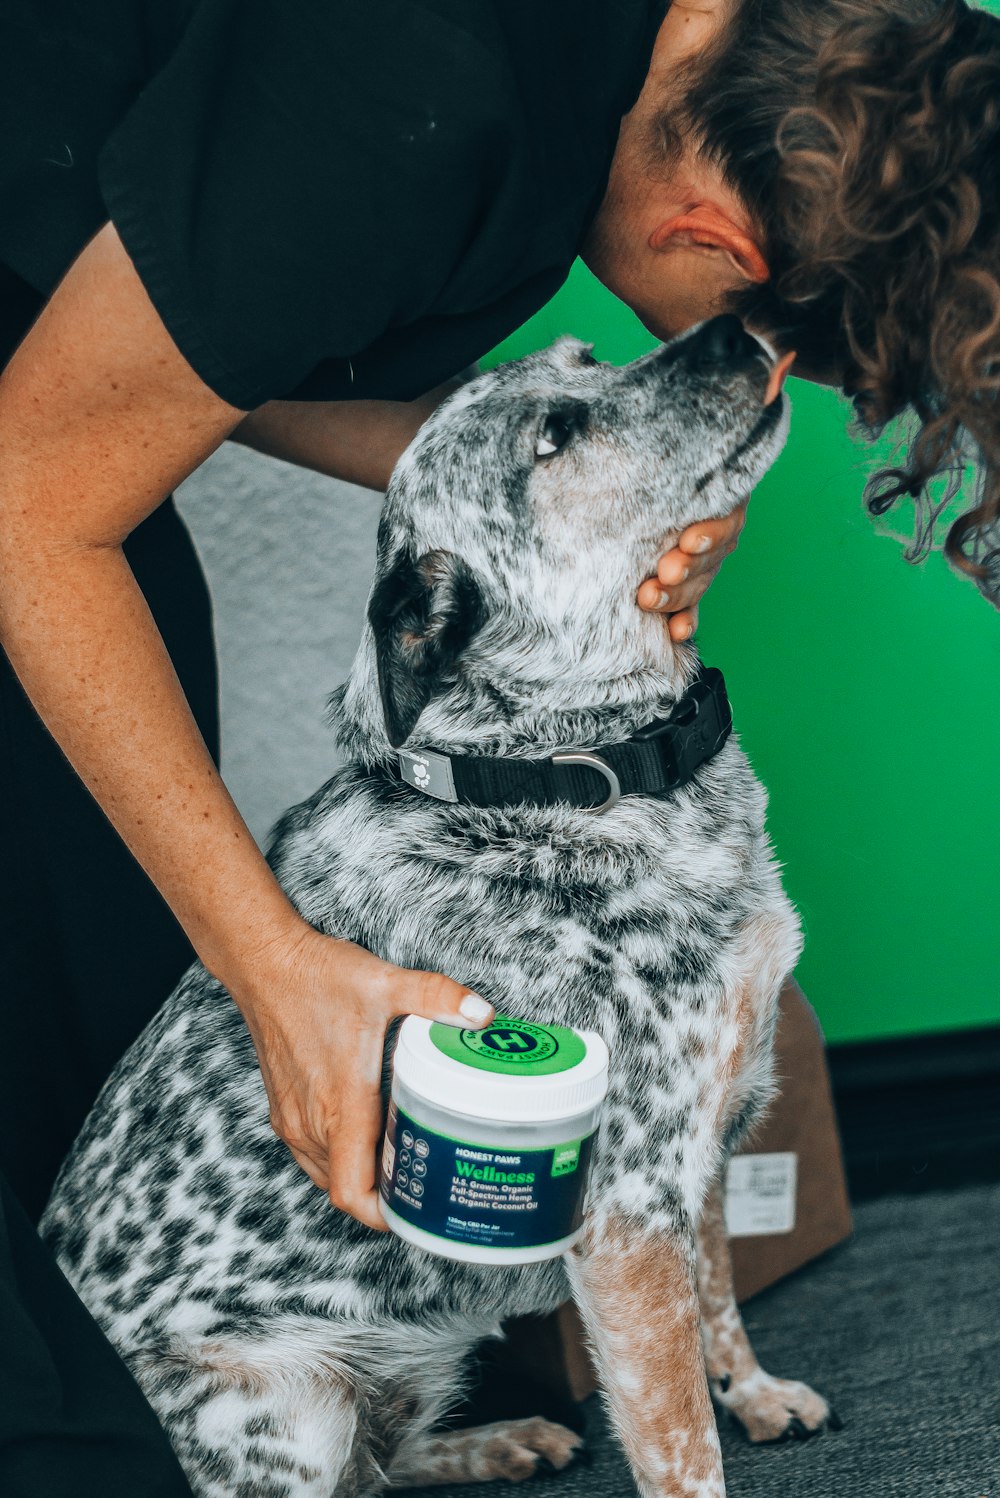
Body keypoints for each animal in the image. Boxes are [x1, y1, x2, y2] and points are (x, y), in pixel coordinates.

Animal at [40, 310, 838, 1492]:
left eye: (588, 356)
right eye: (555, 435)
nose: (735, 325)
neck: (552, 777)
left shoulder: (692, 1155)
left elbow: (720, 1297)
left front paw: (755, 1390)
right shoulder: (623, 1219)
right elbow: (680, 1444)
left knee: (389, 1460)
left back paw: (498, 1438)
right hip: (294, 1408)